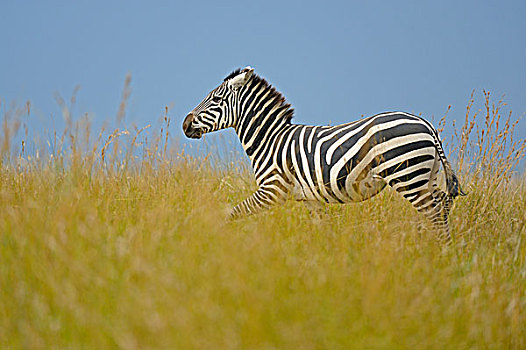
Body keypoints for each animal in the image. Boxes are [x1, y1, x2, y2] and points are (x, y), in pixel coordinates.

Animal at [183, 67, 466, 243]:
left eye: (215, 99)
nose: (185, 124)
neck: (271, 140)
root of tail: (427, 125)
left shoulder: (272, 190)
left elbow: (232, 213)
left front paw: (217, 241)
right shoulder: (310, 199)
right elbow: (320, 231)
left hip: (408, 175)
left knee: (435, 214)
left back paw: (438, 254)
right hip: (426, 175)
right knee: (442, 207)